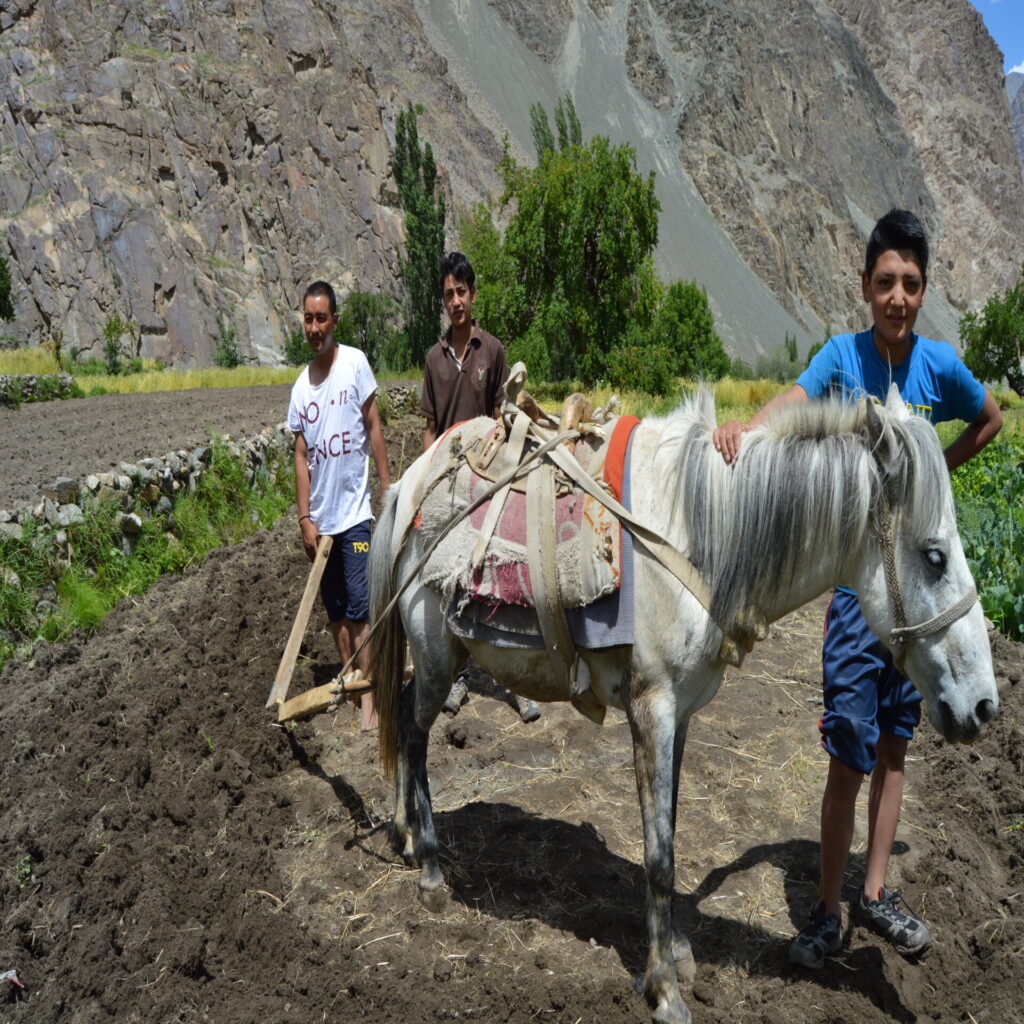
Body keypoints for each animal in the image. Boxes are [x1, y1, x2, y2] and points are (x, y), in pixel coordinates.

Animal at [370, 385, 999, 1024]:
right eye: (935, 556)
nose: (983, 707)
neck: (699, 538)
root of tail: (409, 484)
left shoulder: (684, 715)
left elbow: (669, 833)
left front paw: (673, 954)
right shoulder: (652, 712)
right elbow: (659, 858)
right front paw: (665, 990)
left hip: (441, 657)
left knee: (402, 715)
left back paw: (403, 833)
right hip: (437, 653)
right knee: (416, 737)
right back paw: (429, 866)